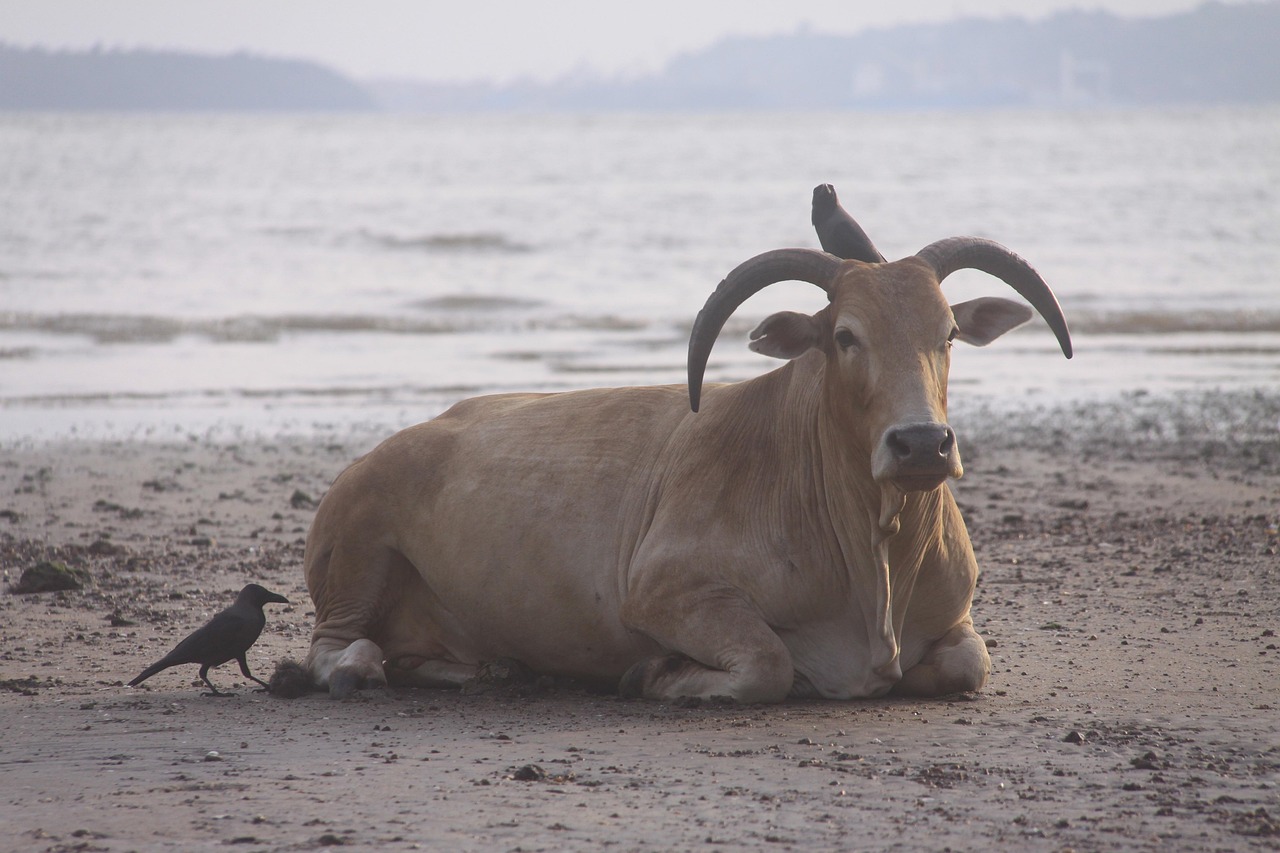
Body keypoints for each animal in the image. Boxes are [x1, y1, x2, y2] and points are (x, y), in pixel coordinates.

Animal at [299, 189, 1070, 701]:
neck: (873, 555)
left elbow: (971, 664)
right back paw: (360, 668)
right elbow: (769, 665)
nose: (920, 445)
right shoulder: (663, 592)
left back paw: (487, 667)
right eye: (846, 335)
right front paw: (657, 672)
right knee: (331, 648)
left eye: (948, 332)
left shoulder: (957, 618)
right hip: (356, 553)